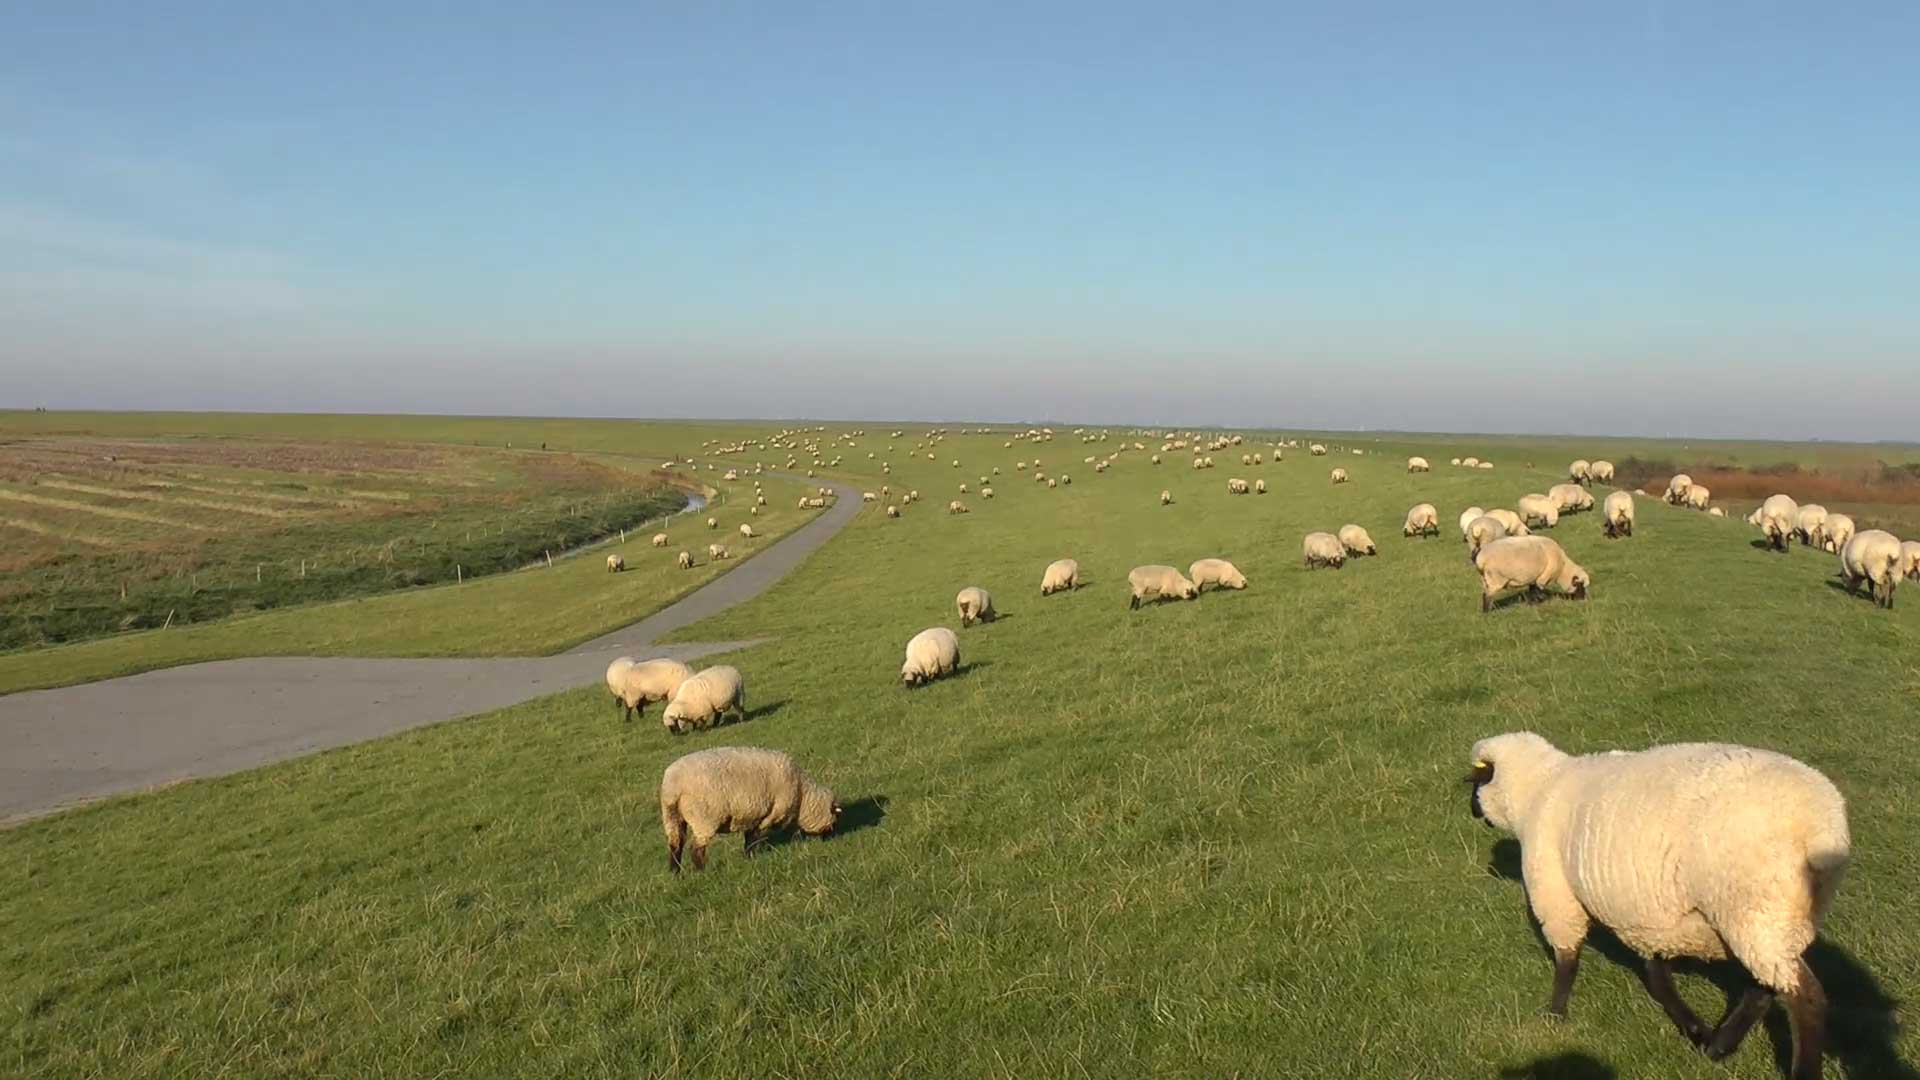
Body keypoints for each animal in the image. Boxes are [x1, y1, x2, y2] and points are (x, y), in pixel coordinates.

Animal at [660, 745, 840, 868]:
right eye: (834, 818)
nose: (831, 838)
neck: (803, 795)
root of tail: (672, 785)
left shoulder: (753, 815)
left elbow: (749, 836)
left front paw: (749, 857)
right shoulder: (770, 815)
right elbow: (754, 838)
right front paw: (751, 856)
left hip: (672, 816)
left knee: (675, 845)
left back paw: (676, 873)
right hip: (703, 818)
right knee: (696, 848)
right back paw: (701, 871)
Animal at [1466, 726, 1843, 1068]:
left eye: (1475, 783)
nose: (1473, 812)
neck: (1541, 786)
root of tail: (1821, 827)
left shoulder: (1555, 892)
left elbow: (1567, 960)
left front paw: (1554, 1014)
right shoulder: (1648, 914)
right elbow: (1657, 975)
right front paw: (1695, 1030)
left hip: (1755, 908)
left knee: (1806, 999)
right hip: (1775, 918)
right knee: (1764, 985)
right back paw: (1720, 1044)